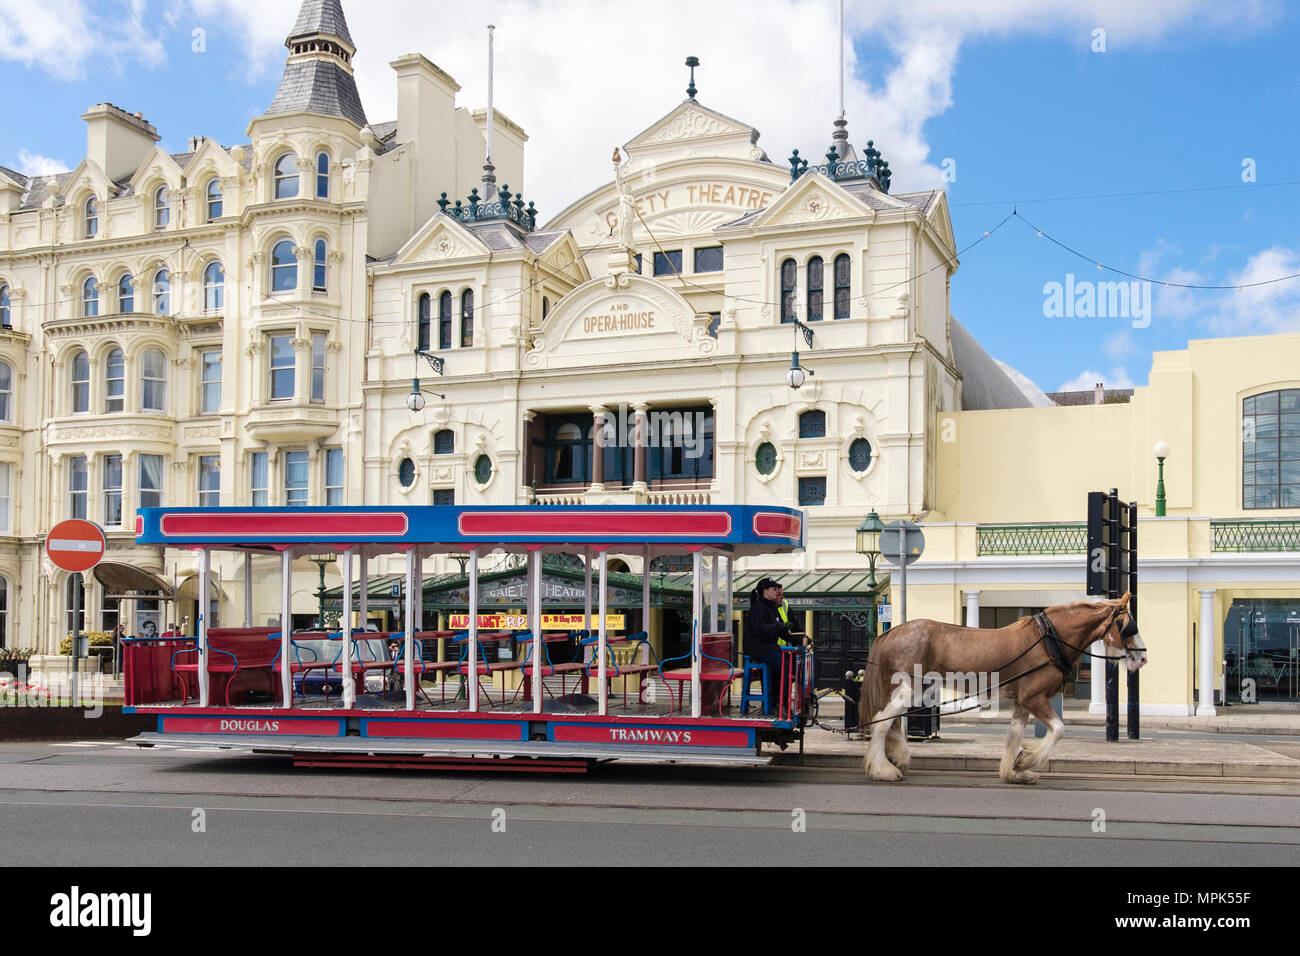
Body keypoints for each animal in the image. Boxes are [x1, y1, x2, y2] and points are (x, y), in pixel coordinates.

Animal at [863, 595, 1149, 790]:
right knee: (881, 723)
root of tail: (891, 632)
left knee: (889, 722)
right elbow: (1058, 729)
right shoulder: (1033, 698)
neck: (1049, 640)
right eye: (1126, 625)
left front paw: (1014, 771)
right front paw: (1028, 761)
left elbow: (1014, 736)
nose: (1142, 658)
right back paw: (882, 769)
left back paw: (897, 757)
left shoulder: (1022, 702)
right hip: (907, 687)